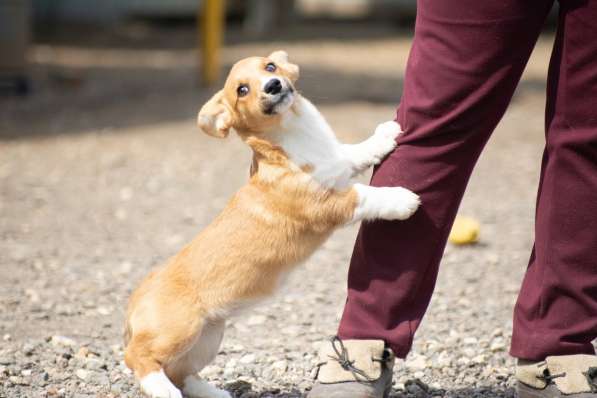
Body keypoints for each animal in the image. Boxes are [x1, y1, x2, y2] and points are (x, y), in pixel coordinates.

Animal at [122, 50, 420, 398]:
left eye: (270, 66)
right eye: (241, 90)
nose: (273, 85)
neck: (295, 134)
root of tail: (135, 300)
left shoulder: (338, 164)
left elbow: (354, 152)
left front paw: (384, 136)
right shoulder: (325, 203)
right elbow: (366, 194)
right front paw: (401, 199)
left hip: (208, 338)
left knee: (180, 372)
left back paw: (212, 392)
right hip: (180, 330)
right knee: (138, 357)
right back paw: (162, 389)